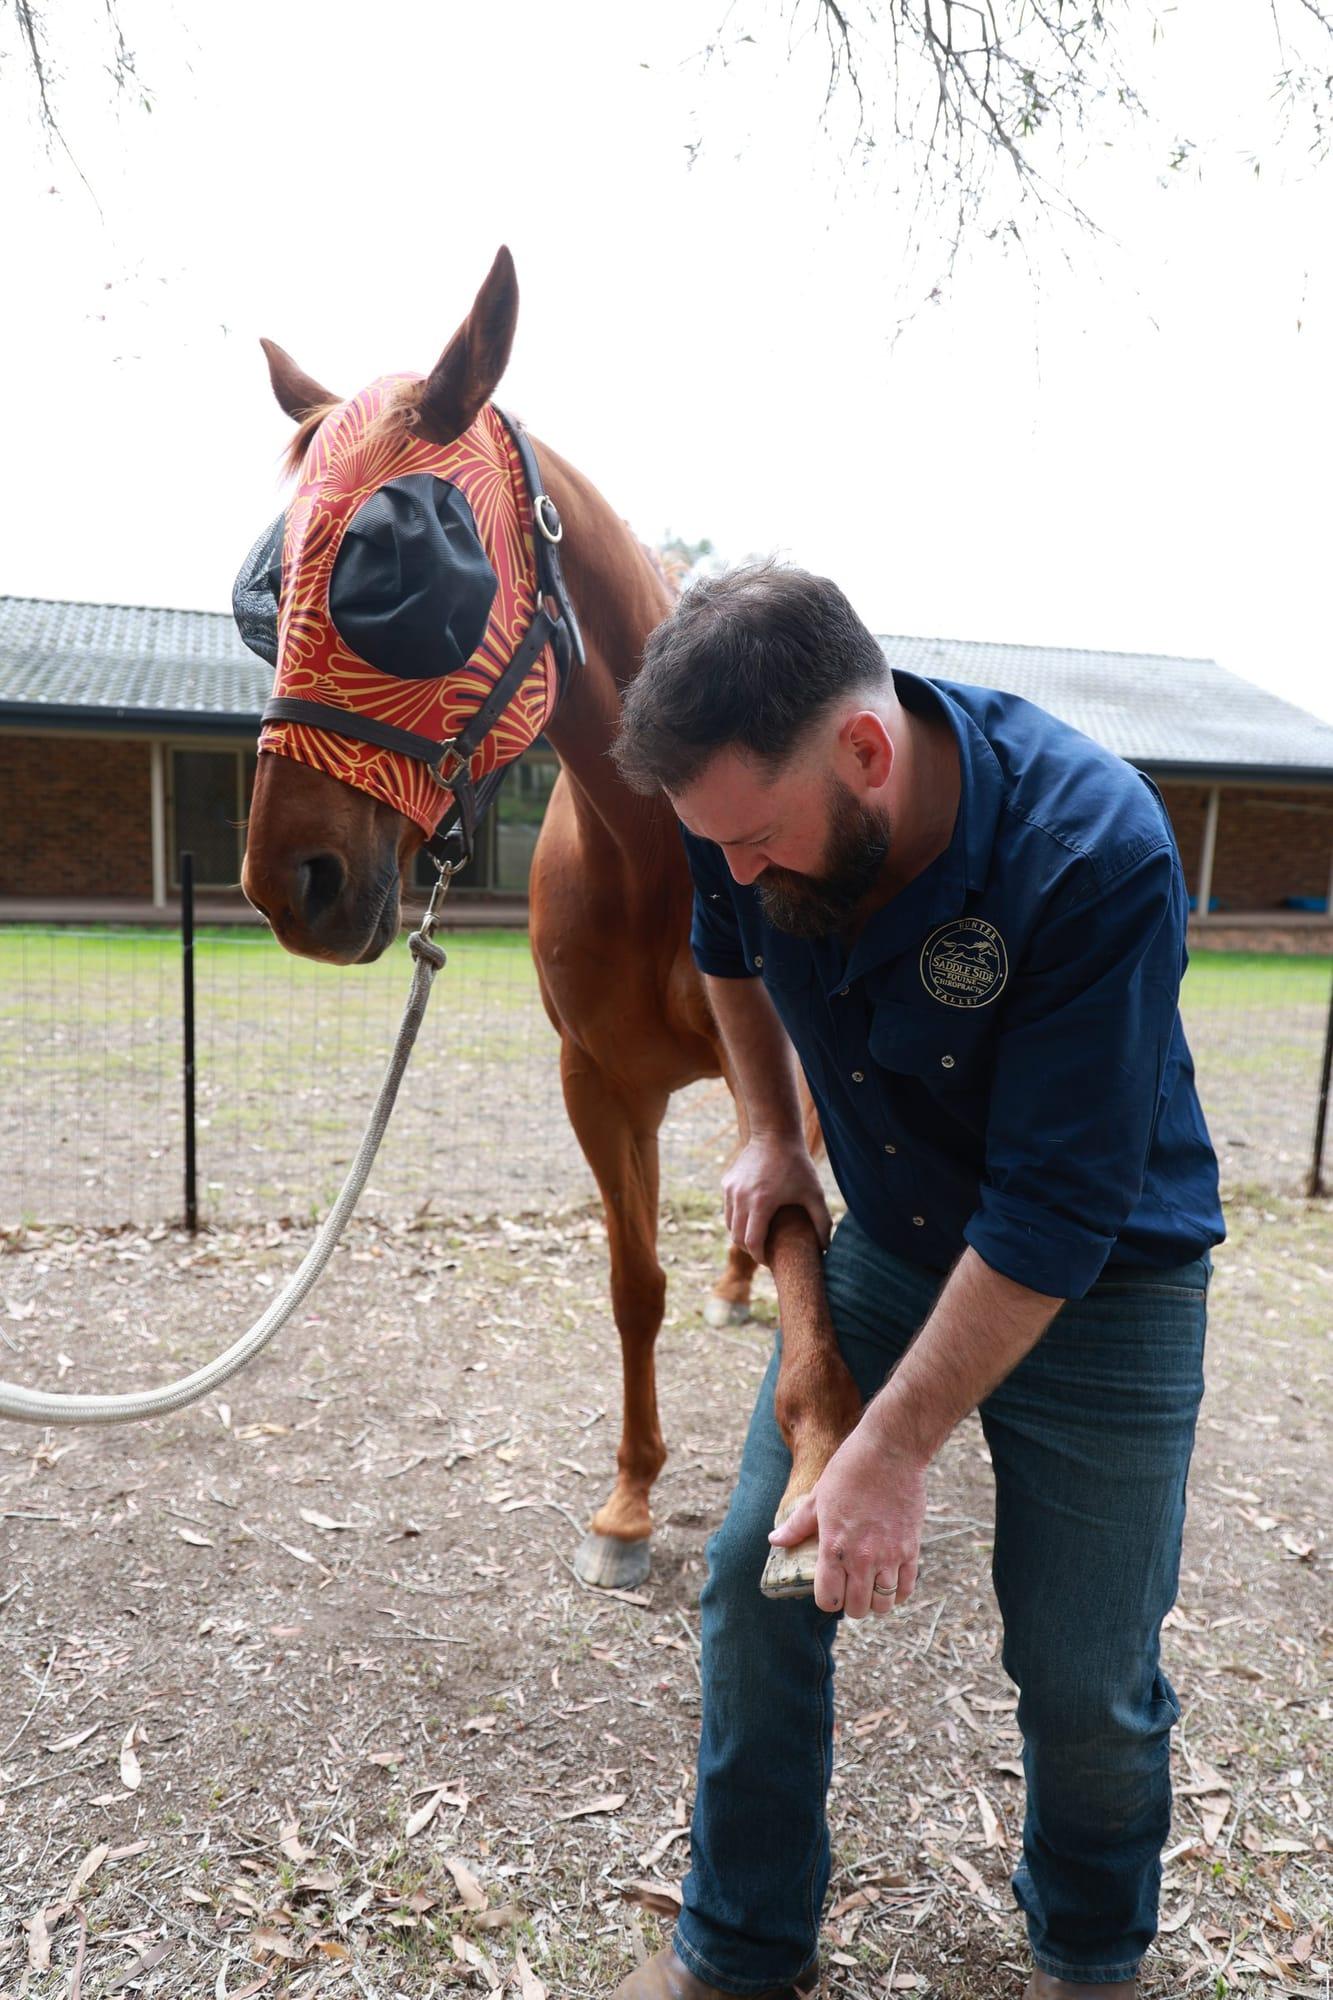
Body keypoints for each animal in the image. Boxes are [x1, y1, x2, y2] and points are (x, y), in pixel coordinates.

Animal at [237, 247, 860, 1595]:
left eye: (397, 573)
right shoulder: (601, 1083)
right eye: (268, 584)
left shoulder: (772, 1061)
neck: (656, 849)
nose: (288, 881)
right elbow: (635, 1283)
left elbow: (803, 1220)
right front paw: (626, 1505)